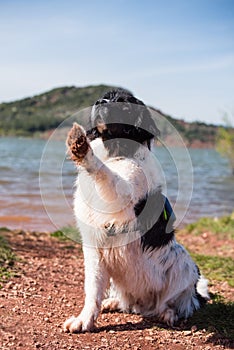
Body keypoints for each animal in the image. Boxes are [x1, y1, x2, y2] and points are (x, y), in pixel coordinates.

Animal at [63, 89, 208, 332]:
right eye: (105, 96)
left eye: (123, 103)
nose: (99, 102)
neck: (116, 152)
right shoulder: (93, 246)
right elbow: (92, 287)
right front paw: (84, 319)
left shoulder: (124, 193)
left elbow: (106, 173)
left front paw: (82, 148)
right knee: (127, 302)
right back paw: (114, 302)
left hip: (185, 265)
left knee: (176, 302)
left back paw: (168, 314)